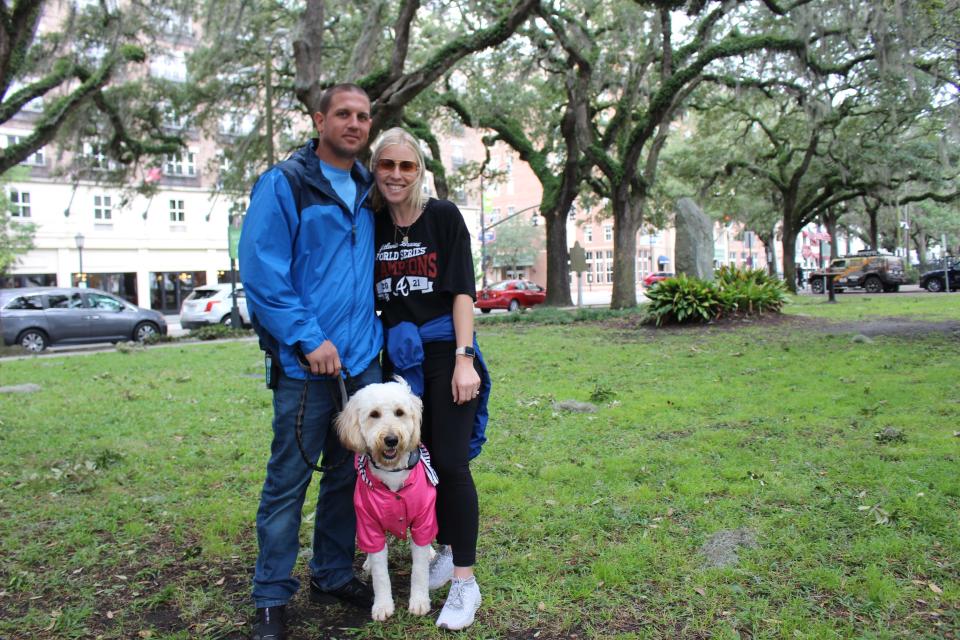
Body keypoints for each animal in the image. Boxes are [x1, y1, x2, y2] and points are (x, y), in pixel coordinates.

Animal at [336, 378, 440, 624]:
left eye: (399, 412)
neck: (393, 475)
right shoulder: (369, 524)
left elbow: (419, 570)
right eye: (374, 414)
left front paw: (419, 601)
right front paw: (382, 605)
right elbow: (380, 573)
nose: (391, 439)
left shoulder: (423, 519)